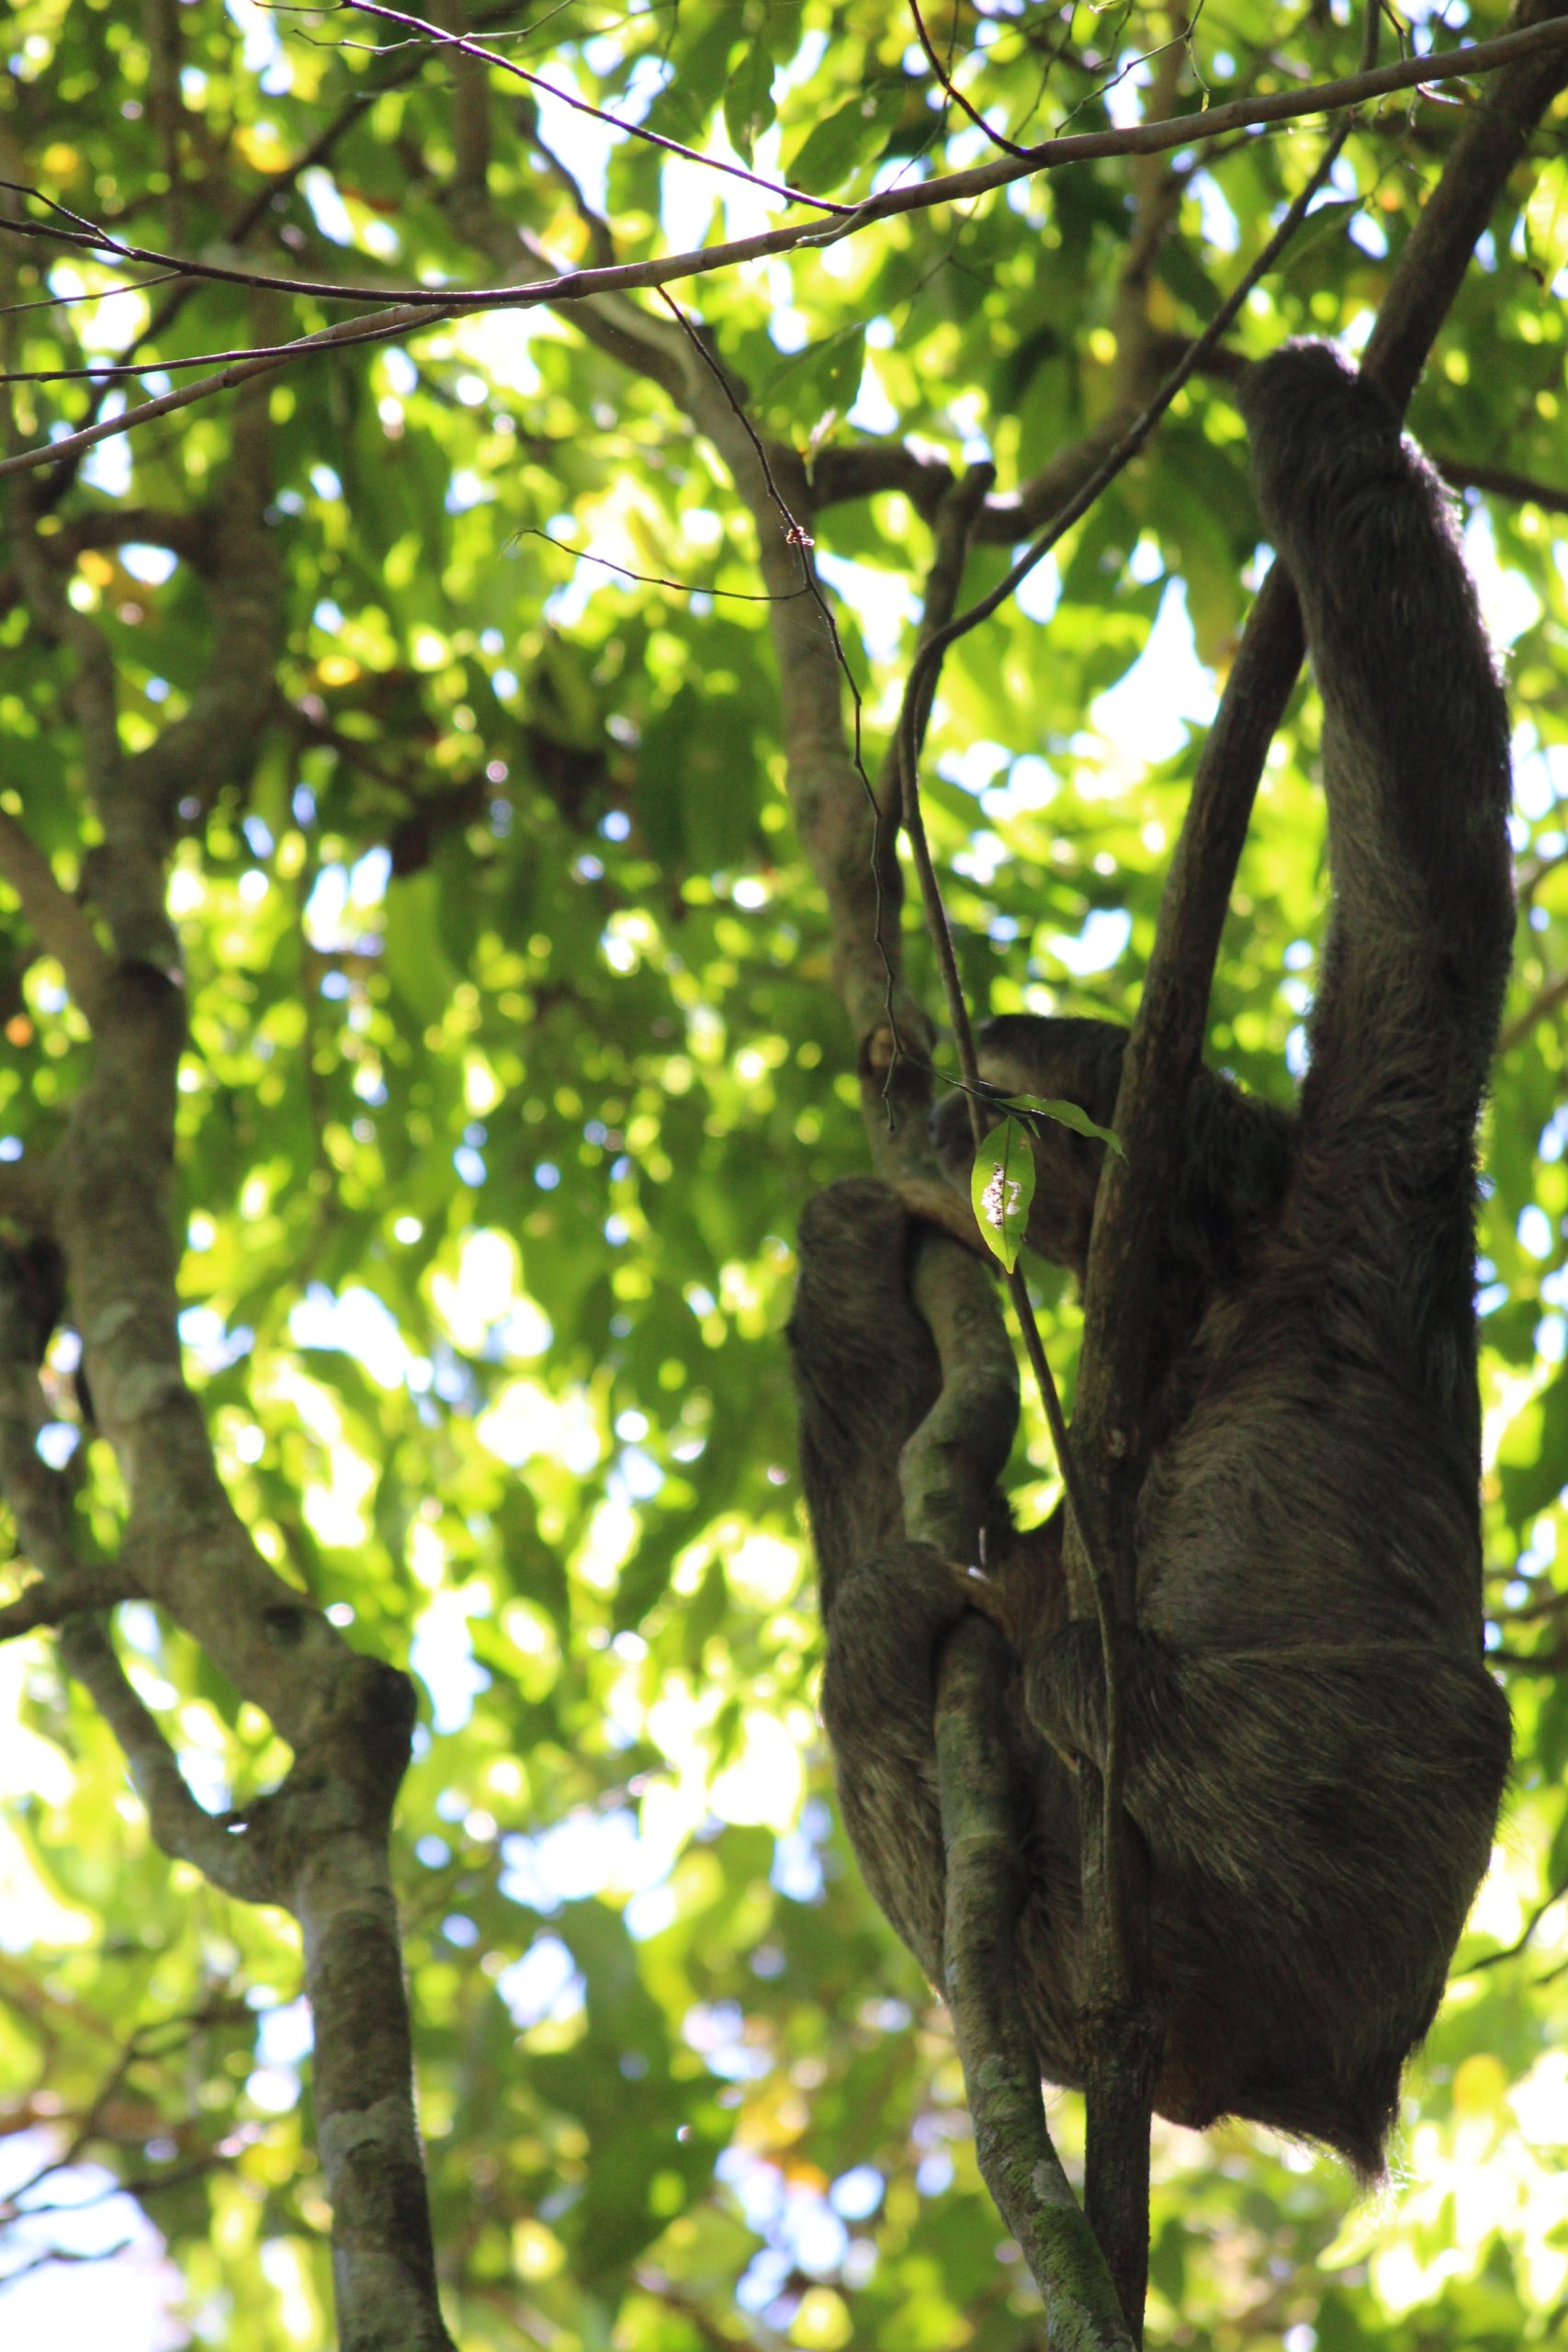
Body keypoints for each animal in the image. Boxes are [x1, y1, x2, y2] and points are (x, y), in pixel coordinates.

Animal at [787, 342, 1514, 2179]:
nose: (963, 1130)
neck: (1214, 1301)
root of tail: (1266, 2089)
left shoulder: (1367, 1180)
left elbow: (1425, 898)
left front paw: (1312, 397)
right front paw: (879, 1212)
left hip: (1371, 1884)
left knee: (1419, 1720)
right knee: (901, 1676)